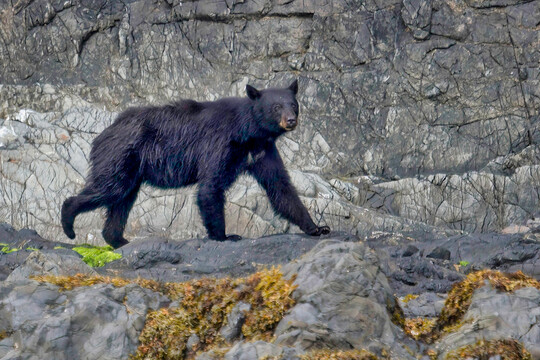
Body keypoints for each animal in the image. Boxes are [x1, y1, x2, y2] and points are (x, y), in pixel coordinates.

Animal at [59, 79, 330, 248]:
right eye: (275, 107)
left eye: (293, 104)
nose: (291, 120)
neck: (248, 132)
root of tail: (105, 132)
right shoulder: (220, 144)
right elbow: (211, 187)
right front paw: (225, 236)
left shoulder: (263, 151)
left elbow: (280, 187)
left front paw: (316, 227)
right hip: (120, 155)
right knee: (108, 188)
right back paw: (69, 222)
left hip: (131, 168)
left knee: (122, 199)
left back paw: (117, 239)